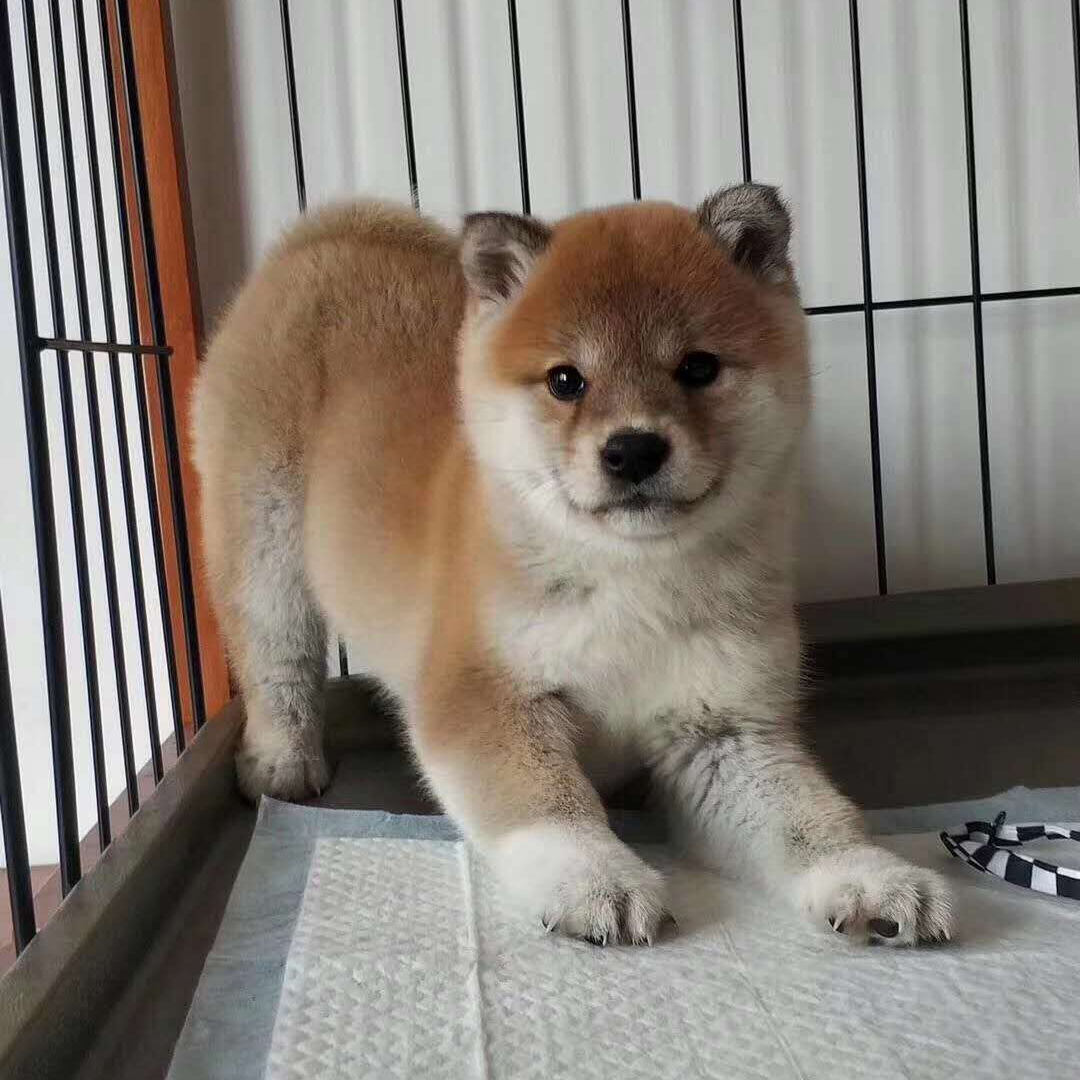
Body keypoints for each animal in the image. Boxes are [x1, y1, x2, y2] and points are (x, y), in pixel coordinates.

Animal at [194, 185, 954, 946]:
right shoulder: (488, 696)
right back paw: (281, 759)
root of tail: (331, 234)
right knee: (276, 661)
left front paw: (868, 873)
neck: (633, 586)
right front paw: (596, 878)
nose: (633, 449)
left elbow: (809, 821)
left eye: (698, 368)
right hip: (265, 540)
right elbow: (548, 807)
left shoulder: (725, 733)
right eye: (566, 380)